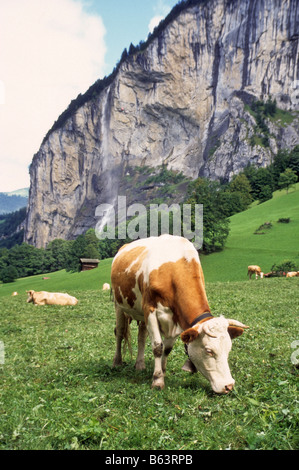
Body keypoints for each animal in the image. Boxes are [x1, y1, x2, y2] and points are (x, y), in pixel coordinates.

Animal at [111, 234, 250, 392]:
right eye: (209, 351)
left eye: (228, 349)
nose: (229, 385)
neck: (171, 271)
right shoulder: (150, 310)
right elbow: (158, 347)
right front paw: (157, 380)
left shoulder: (177, 319)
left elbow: (167, 349)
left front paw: (162, 372)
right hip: (118, 304)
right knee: (119, 332)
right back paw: (117, 362)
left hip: (141, 313)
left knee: (141, 336)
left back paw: (140, 364)